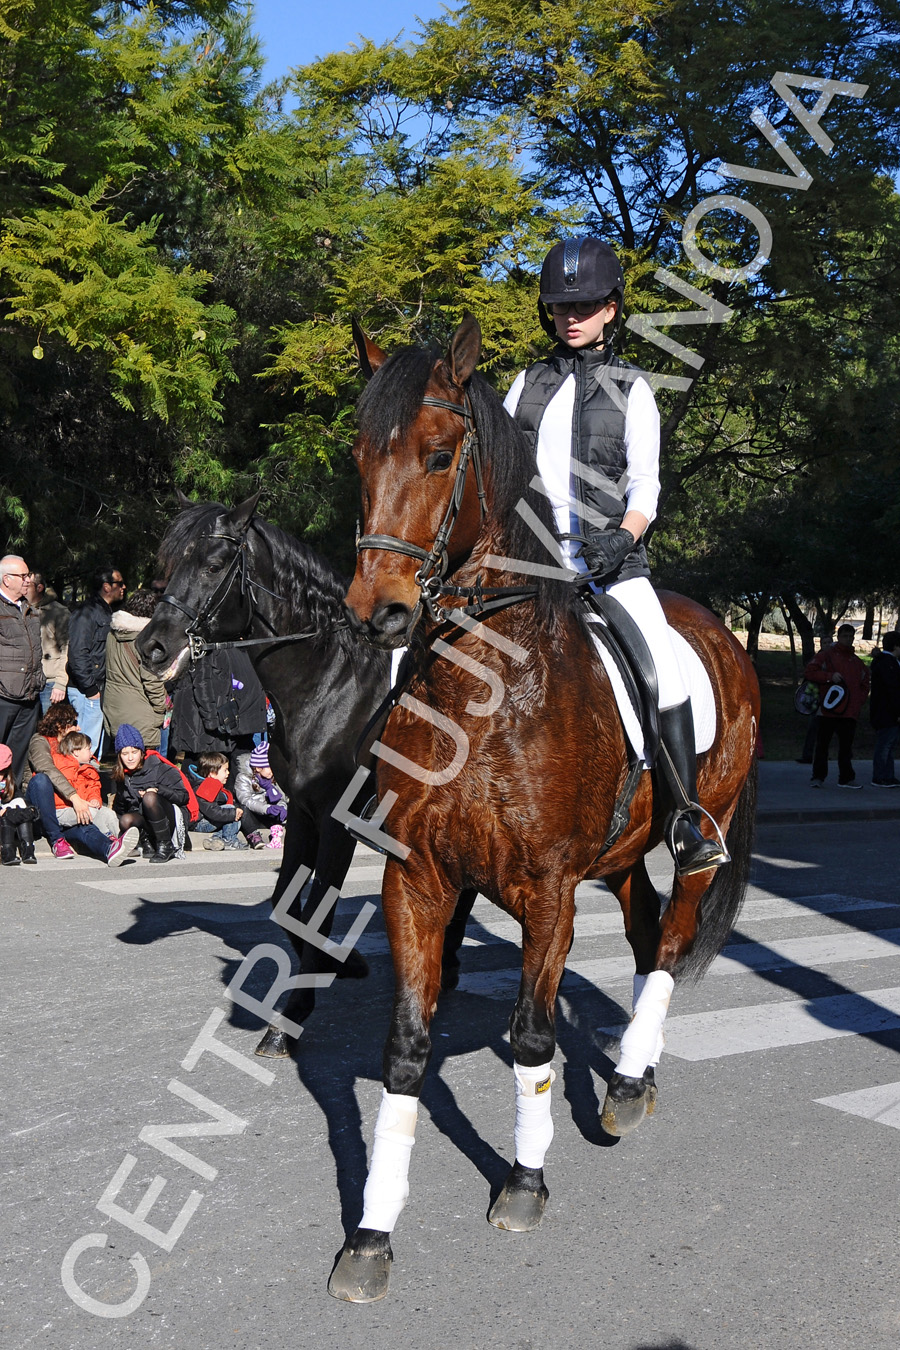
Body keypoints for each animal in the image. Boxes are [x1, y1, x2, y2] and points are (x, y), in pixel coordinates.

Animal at [135, 494, 477, 1053]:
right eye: (171, 563)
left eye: (212, 565)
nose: (152, 646)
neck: (331, 680)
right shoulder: (301, 809)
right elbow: (284, 904)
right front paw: (344, 963)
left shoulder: (338, 819)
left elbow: (318, 909)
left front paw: (290, 1017)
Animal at [330, 313, 761, 1296]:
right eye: (359, 455)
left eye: (440, 454)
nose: (377, 613)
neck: (487, 689)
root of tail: (720, 631)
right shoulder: (418, 882)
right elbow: (405, 1049)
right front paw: (371, 1233)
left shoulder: (548, 891)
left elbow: (532, 1039)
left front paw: (524, 1182)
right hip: (624, 853)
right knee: (643, 934)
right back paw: (637, 1072)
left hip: (699, 831)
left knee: (671, 942)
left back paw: (629, 1085)